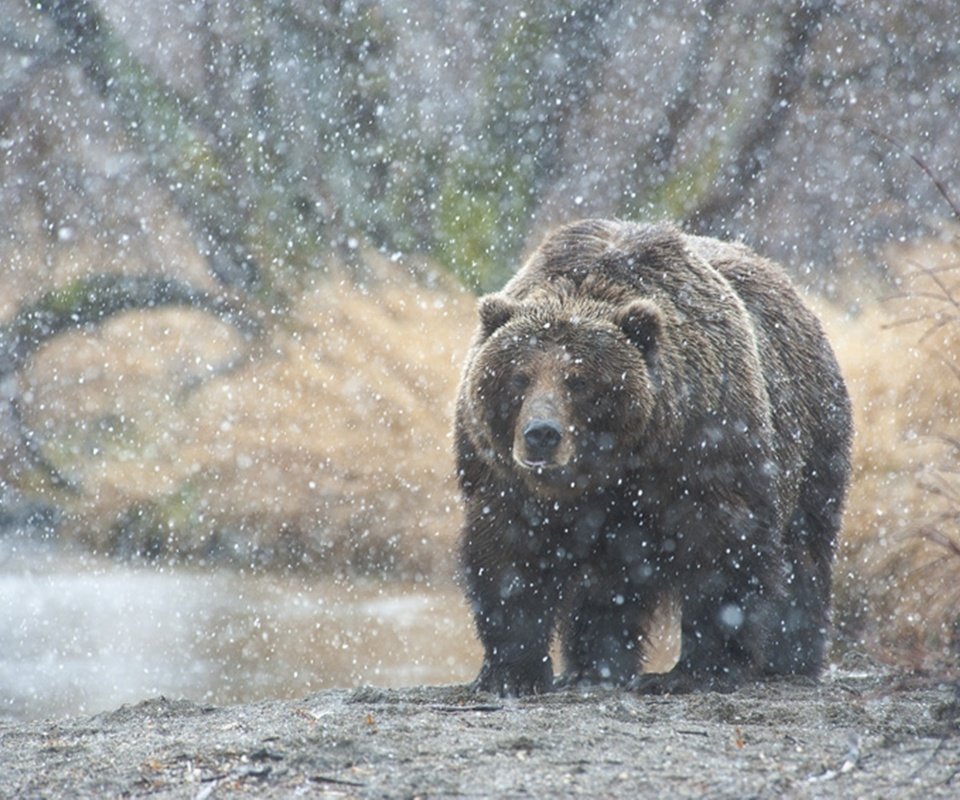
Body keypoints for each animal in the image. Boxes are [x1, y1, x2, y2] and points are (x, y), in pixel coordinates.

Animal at [454, 219, 852, 692]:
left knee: (803, 550)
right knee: (611, 583)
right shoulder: (503, 477)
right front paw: (512, 673)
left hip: (813, 438)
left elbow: (721, 550)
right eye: (519, 377)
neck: (611, 466)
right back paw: (593, 667)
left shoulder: (704, 445)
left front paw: (697, 670)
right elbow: (508, 557)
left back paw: (790, 658)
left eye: (579, 381)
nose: (541, 435)